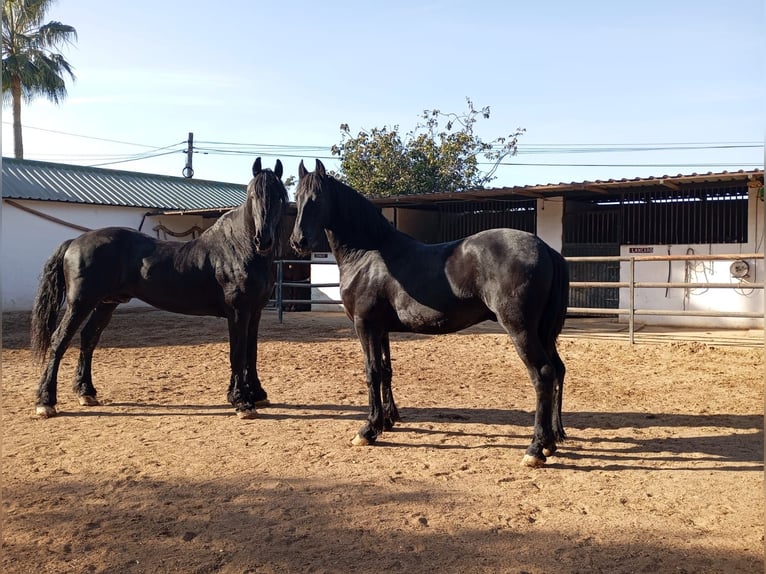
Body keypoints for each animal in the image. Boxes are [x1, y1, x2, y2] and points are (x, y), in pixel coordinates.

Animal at [31, 157, 288, 419]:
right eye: (252, 195)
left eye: (280, 196)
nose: (263, 240)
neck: (238, 249)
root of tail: (74, 242)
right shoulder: (237, 312)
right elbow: (238, 352)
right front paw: (242, 402)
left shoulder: (254, 312)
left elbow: (251, 352)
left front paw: (257, 395)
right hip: (80, 303)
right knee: (59, 341)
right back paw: (46, 402)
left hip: (105, 303)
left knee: (88, 338)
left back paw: (86, 393)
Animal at [290, 159, 569, 468]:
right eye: (297, 197)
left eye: (317, 198)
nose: (298, 241)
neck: (368, 254)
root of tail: (545, 248)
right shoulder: (381, 329)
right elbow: (386, 371)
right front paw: (388, 421)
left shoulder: (365, 326)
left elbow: (371, 371)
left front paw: (368, 430)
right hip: (543, 332)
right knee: (558, 370)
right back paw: (552, 441)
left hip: (520, 330)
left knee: (543, 374)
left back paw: (535, 449)